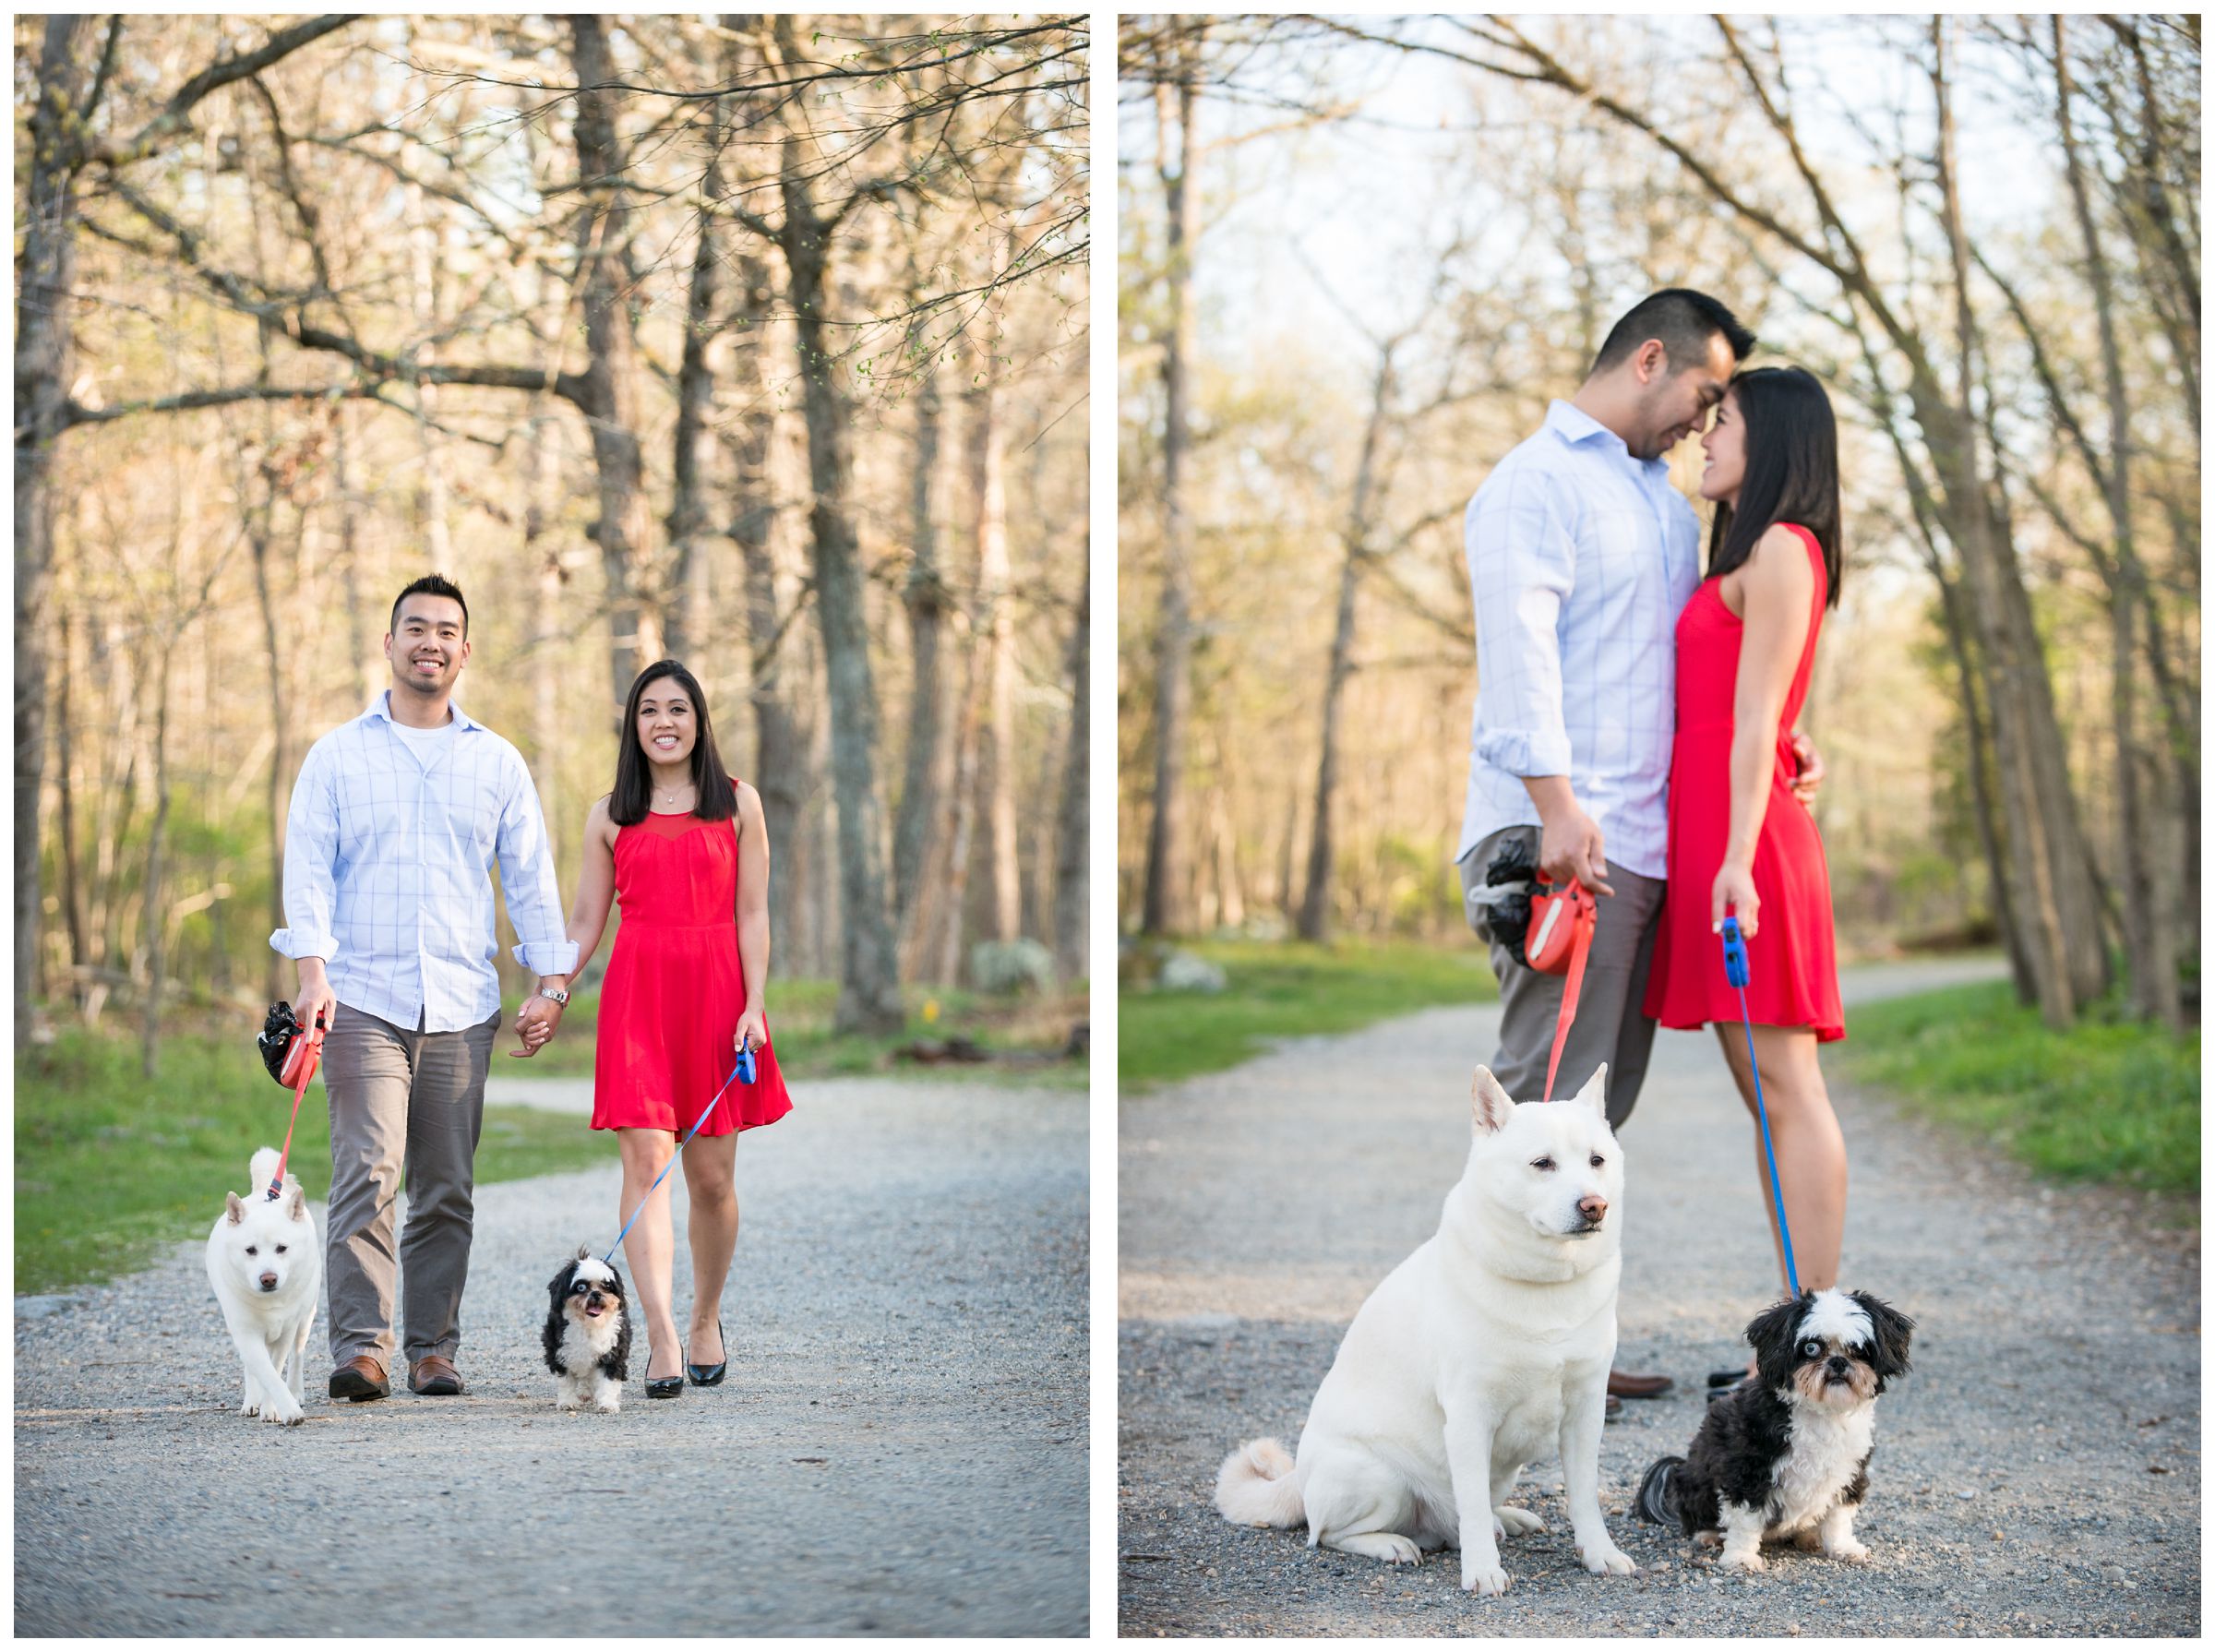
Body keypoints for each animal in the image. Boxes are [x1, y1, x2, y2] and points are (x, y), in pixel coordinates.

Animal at [206, 1143, 323, 1417]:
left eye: (282, 1248)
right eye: (250, 1250)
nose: (268, 1279)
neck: (270, 1303)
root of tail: (264, 1192)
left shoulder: (286, 1332)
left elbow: (277, 1368)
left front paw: (274, 1409)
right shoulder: (246, 1333)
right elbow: (266, 1372)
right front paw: (281, 1409)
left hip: (305, 1319)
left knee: (297, 1355)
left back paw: (295, 1392)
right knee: (252, 1368)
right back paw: (251, 1400)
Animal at [1222, 1062, 1639, 1586]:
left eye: (1596, 1160)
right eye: (1542, 1164)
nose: (1594, 1205)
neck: (1546, 1285)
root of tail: (1297, 1479)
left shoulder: (1586, 1413)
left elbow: (1583, 1497)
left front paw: (1599, 1552)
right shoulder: (1468, 1416)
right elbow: (1472, 1506)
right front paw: (1483, 1572)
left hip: (1503, 1472)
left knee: (1467, 1514)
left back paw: (1506, 1519)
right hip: (1378, 1480)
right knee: (1330, 1534)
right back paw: (1392, 1545)